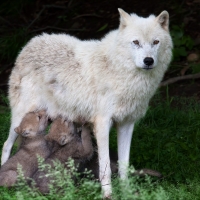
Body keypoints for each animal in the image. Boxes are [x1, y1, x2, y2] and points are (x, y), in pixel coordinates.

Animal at [1, 8, 172, 197]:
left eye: (155, 42)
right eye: (136, 42)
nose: (148, 61)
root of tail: (30, 43)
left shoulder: (127, 124)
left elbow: (124, 166)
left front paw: (126, 192)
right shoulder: (103, 124)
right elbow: (105, 167)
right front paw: (108, 194)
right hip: (20, 117)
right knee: (6, 145)